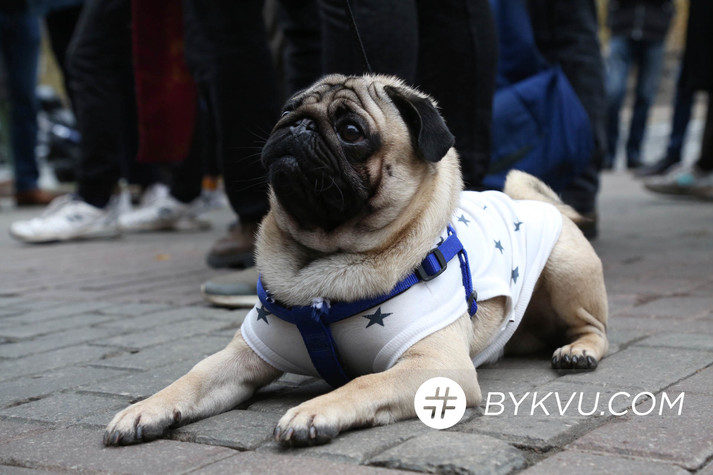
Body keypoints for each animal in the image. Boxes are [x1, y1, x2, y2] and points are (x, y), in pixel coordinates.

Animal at [104, 74, 608, 447]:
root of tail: (537, 202)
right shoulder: (245, 355)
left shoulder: (437, 367)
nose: (299, 126)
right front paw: (144, 409)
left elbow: (364, 384)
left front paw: (314, 412)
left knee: (594, 327)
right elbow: (193, 377)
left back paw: (578, 351)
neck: (321, 265)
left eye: (351, 132)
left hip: (567, 268)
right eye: (287, 110)